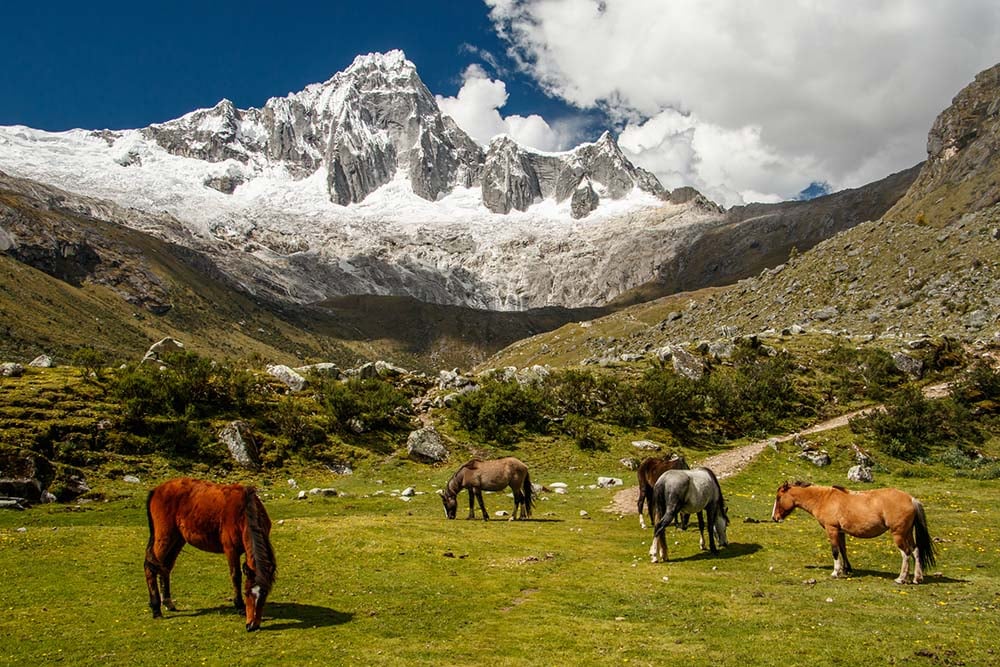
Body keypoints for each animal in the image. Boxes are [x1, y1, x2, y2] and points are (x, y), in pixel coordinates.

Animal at [145, 480, 278, 632]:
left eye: (264, 595)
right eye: (247, 593)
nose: (252, 625)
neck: (243, 510)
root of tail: (156, 490)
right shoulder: (231, 549)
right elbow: (236, 576)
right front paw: (239, 606)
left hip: (177, 539)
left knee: (166, 567)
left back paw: (168, 602)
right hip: (164, 536)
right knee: (150, 567)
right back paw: (156, 609)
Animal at [772, 480, 936, 584]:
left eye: (779, 497)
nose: (774, 518)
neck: (824, 499)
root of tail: (911, 499)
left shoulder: (832, 530)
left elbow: (835, 551)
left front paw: (835, 572)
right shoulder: (841, 532)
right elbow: (843, 550)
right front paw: (846, 570)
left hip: (899, 534)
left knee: (906, 553)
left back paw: (901, 579)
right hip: (907, 533)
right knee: (915, 551)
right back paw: (917, 578)